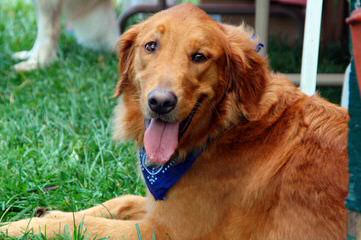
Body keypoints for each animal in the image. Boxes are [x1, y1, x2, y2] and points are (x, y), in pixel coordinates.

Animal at [1, 3, 348, 240]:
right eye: (151, 46)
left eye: (200, 56)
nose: (160, 102)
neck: (222, 130)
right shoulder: (160, 207)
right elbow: (121, 200)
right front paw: (44, 214)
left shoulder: (163, 232)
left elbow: (87, 224)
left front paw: (18, 227)